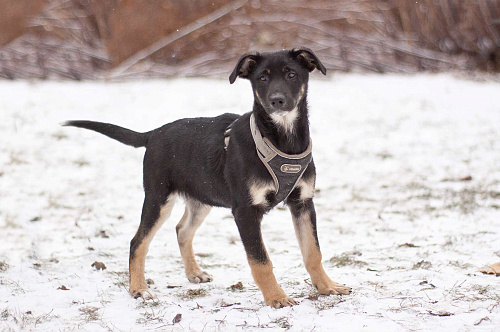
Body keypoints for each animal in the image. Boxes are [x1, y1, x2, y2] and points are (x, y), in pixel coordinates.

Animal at [63, 47, 352, 308]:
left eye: (292, 74)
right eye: (262, 78)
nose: (277, 100)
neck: (281, 139)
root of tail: (153, 134)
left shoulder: (303, 202)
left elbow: (313, 252)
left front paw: (327, 286)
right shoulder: (245, 211)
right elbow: (260, 260)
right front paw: (276, 298)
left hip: (201, 197)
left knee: (182, 230)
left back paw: (194, 273)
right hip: (158, 197)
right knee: (138, 241)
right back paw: (139, 289)